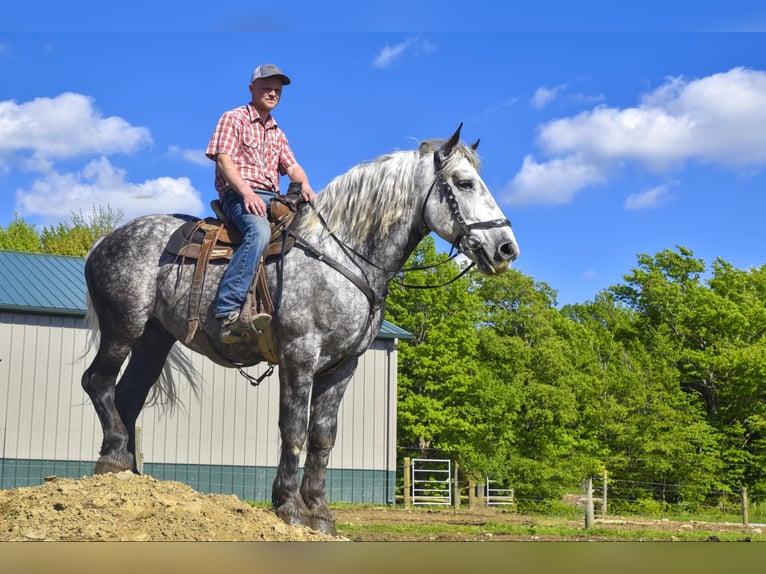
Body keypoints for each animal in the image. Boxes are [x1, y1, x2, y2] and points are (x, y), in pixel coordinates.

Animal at [81, 125, 520, 536]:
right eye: (464, 182)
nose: (506, 249)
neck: (343, 255)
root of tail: (104, 240)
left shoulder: (343, 366)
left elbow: (323, 436)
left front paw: (320, 512)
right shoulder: (299, 356)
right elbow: (293, 429)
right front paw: (290, 507)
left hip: (154, 340)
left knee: (128, 396)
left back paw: (126, 471)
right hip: (123, 329)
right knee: (97, 382)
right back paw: (114, 458)